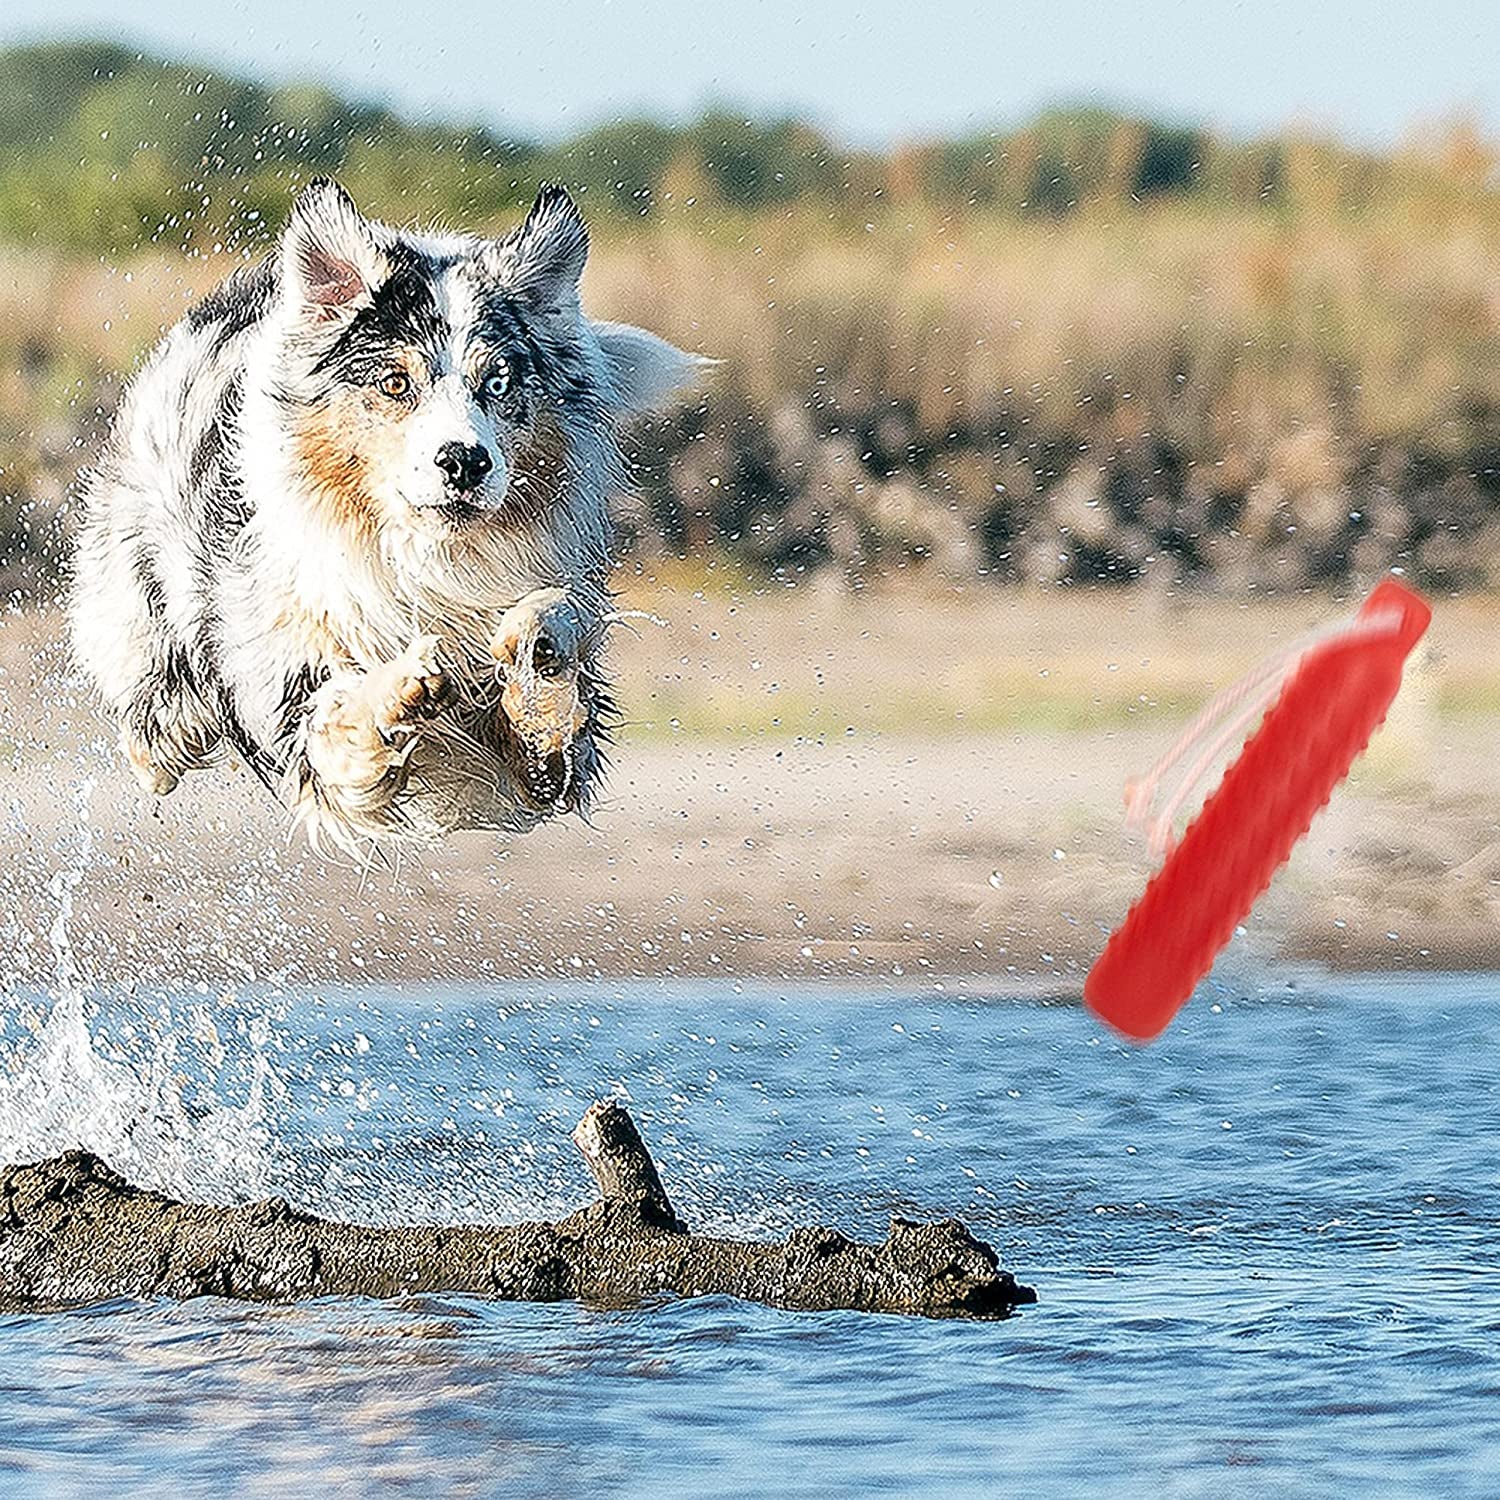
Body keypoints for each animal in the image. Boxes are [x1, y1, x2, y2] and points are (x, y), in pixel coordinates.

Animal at [69, 177, 696, 852]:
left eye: (498, 383)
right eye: (396, 383)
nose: (465, 461)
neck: (426, 560)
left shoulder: (550, 766)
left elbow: (553, 640)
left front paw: (536, 647)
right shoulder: (292, 697)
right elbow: (335, 715)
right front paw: (399, 687)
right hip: (155, 652)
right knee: (158, 739)